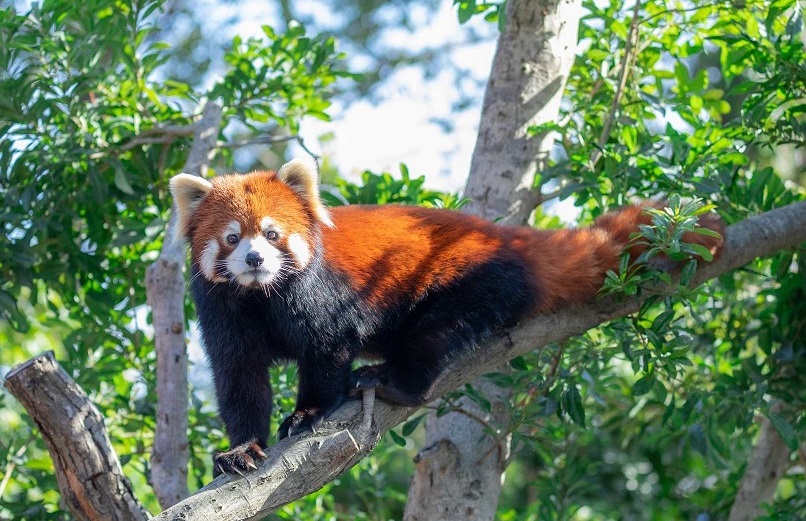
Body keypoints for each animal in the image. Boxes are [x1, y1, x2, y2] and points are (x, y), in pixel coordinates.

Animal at [169, 159, 724, 476]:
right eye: (233, 238)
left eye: (272, 233)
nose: (254, 259)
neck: (263, 295)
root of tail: (510, 238)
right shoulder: (223, 312)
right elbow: (240, 380)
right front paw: (241, 449)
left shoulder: (321, 294)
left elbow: (328, 350)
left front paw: (308, 413)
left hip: (468, 276)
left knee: (437, 334)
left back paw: (394, 380)